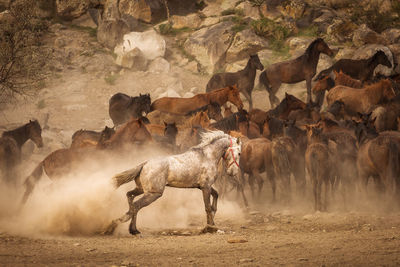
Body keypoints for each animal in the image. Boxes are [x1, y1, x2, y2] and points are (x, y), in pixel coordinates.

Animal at [104, 131, 241, 236]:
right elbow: (207, 207)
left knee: (130, 197)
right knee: (136, 205)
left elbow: (215, 197)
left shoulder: (203, 187)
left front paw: (213, 222)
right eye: (239, 153)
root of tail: (145, 164)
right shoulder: (205, 187)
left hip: (142, 189)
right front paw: (210, 227)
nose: (233, 172)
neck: (207, 157)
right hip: (154, 193)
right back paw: (125, 228)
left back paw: (125, 226)